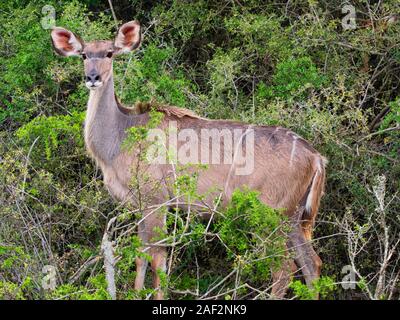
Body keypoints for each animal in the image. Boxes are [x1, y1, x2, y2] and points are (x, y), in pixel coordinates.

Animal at [50, 21, 326, 298]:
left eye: (109, 53)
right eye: (84, 55)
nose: (92, 78)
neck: (122, 134)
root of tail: (316, 158)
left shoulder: (156, 201)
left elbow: (157, 259)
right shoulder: (140, 205)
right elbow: (140, 256)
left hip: (270, 216)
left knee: (284, 268)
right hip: (293, 217)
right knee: (311, 264)